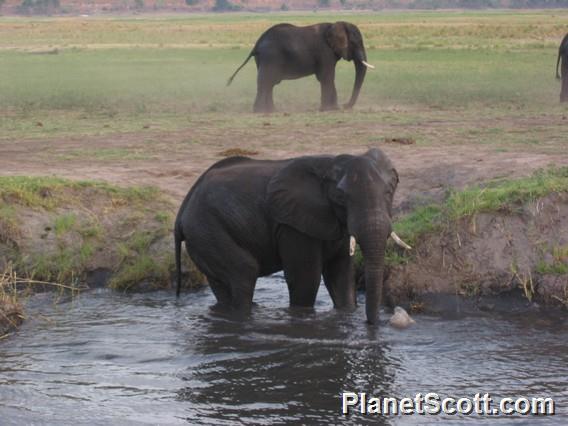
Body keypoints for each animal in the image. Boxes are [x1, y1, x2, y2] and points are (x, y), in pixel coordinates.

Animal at [175, 148, 410, 324]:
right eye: (341, 198)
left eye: (389, 192)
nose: (372, 324)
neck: (330, 164)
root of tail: (182, 211)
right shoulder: (292, 224)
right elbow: (306, 278)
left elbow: (341, 276)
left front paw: (346, 314)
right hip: (208, 229)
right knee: (244, 273)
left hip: (204, 235)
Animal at [226, 21, 378, 113]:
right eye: (355, 43)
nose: (345, 105)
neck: (335, 24)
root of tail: (257, 43)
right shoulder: (324, 52)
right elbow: (327, 77)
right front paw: (330, 109)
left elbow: (327, 78)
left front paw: (332, 109)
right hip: (271, 57)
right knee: (266, 82)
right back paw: (261, 112)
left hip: (263, 59)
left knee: (269, 83)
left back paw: (271, 111)